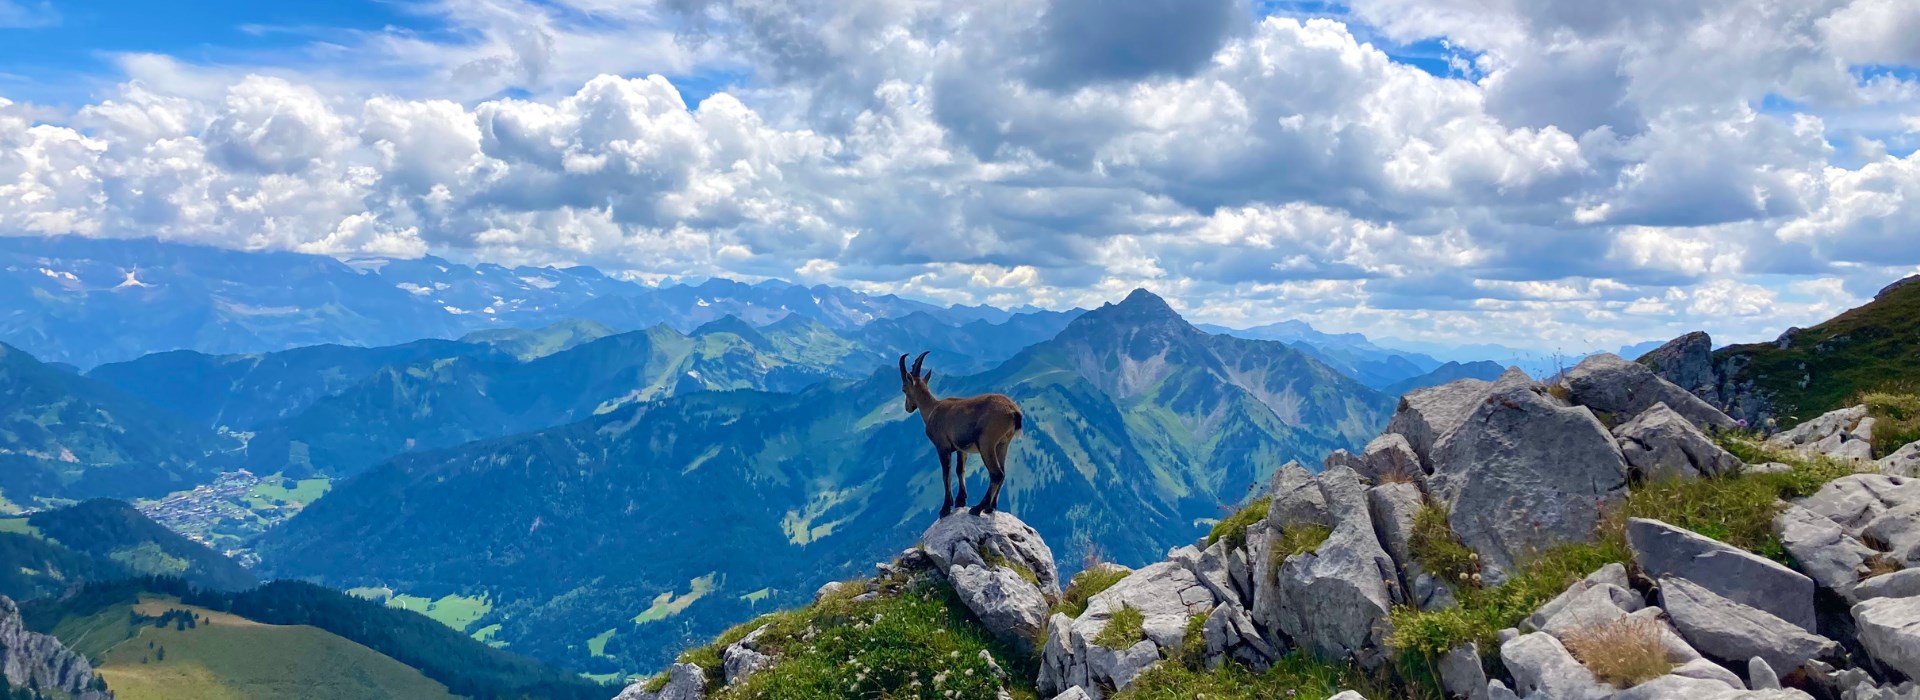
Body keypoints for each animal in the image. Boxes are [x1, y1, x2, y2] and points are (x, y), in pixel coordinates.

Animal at [894, 350, 1021, 513]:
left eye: (904, 389)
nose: (907, 407)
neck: (932, 409)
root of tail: (1013, 411)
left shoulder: (942, 447)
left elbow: (946, 474)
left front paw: (945, 508)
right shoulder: (962, 448)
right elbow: (960, 469)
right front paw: (961, 500)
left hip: (987, 443)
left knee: (996, 474)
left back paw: (978, 508)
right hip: (1003, 444)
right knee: (1003, 472)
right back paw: (990, 507)